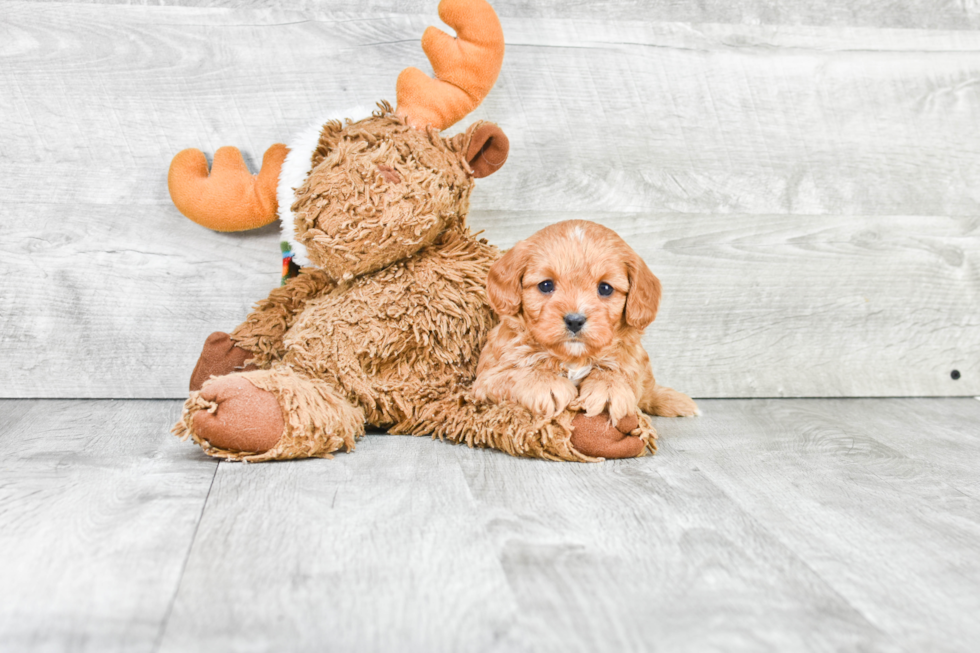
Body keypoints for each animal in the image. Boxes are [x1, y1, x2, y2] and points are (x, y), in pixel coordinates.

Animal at [472, 219, 696, 426]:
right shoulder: (486, 379)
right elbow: (515, 373)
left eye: (605, 288)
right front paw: (546, 383)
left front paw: (608, 388)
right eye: (546, 285)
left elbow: (620, 372)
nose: (574, 320)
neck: (573, 358)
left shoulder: (631, 360)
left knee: (648, 391)